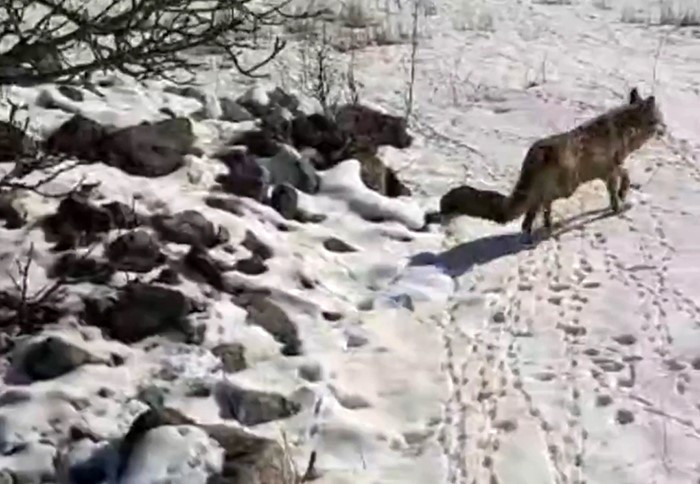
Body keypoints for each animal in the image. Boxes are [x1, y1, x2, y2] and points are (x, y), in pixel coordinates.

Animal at [432, 89, 668, 236]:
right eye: (660, 118)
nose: (666, 129)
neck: (626, 131)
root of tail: (536, 152)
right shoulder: (610, 170)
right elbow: (622, 183)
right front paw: (621, 202)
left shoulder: (609, 171)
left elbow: (620, 184)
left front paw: (620, 200)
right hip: (567, 188)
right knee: (538, 206)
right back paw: (545, 229)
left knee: (532, 214)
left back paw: (538, 231)